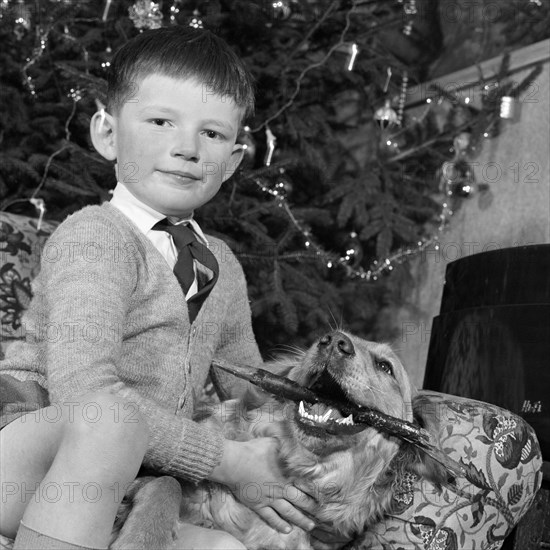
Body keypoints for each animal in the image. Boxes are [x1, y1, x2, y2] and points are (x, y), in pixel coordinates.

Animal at [110, 332, 450, 550]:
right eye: (327, 339)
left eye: (385, 367)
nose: (333, 341)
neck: (298, 465)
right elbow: (168, 482)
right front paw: (143, 539)